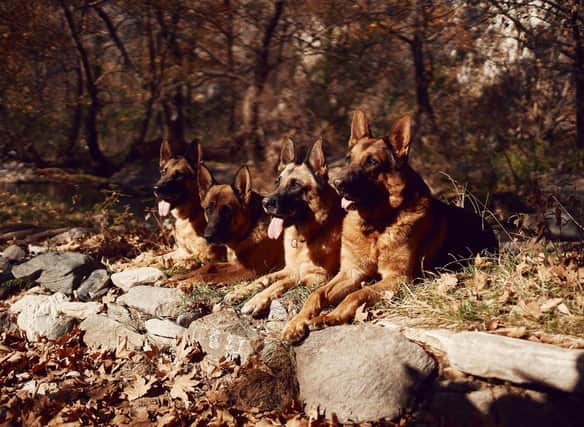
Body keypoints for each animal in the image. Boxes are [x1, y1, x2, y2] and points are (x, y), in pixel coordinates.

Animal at [221, 138, 344, 318]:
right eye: (277, 182)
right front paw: (241, 291)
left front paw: (256, 300)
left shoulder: (316, 276)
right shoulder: (288, 269)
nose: (265, 203)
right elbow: (264, 278)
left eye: (296, 185)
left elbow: (279, 283)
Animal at [282, 110, 498, 344]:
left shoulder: (397, 278)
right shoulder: (350, 273)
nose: (337, 184)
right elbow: (317, 294)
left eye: (372, 162)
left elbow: (357, 294)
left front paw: (332, 316)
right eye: (349, 159)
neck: (376, 226)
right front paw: (296, 322)